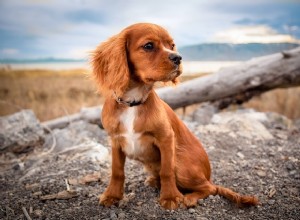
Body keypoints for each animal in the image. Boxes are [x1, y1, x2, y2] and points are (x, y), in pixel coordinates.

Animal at [91, 22, 258, 210]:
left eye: (172, 45)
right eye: (148, 46)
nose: (178, 58)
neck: (133, 102)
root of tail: (208, 175)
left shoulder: (166, 138)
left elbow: (167, 170)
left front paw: (170, 197)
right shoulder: (115, 140)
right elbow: (117, 171)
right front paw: (112, 196)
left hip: (182, 163)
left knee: (210, 188)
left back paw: (189, 198)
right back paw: (155, 182)